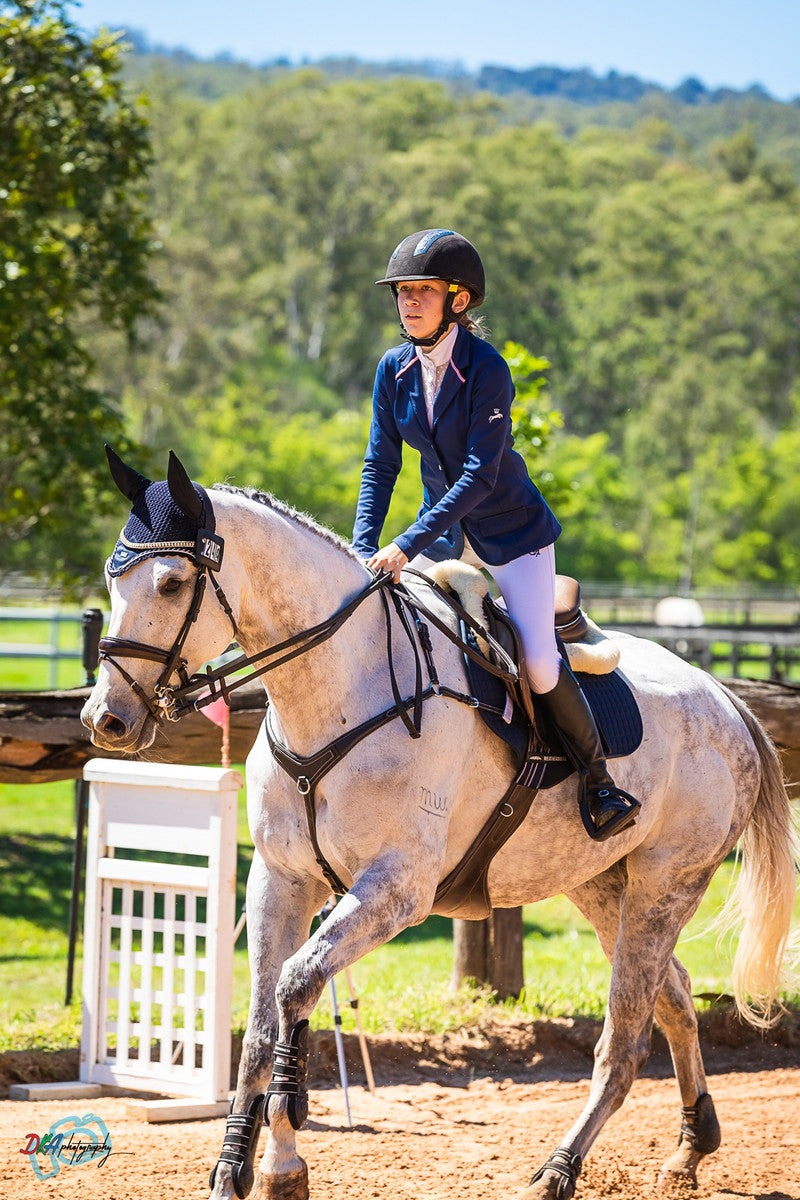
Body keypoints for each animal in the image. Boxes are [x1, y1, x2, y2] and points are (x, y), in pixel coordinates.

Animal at [82, 449, 798, 1200]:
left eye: (170, 582)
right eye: (112, 575)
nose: (106, 720)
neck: (339, 688)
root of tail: (724, 697)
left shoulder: (396, 890)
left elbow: (295, 986)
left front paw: (281, 1159)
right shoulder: (282, 881)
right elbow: (258, 1026)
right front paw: (234, 1165)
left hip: (667, 884)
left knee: (626, 1041)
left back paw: (558, 1169)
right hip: (602, 885)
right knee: (676, 1000)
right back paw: (690, 1147)